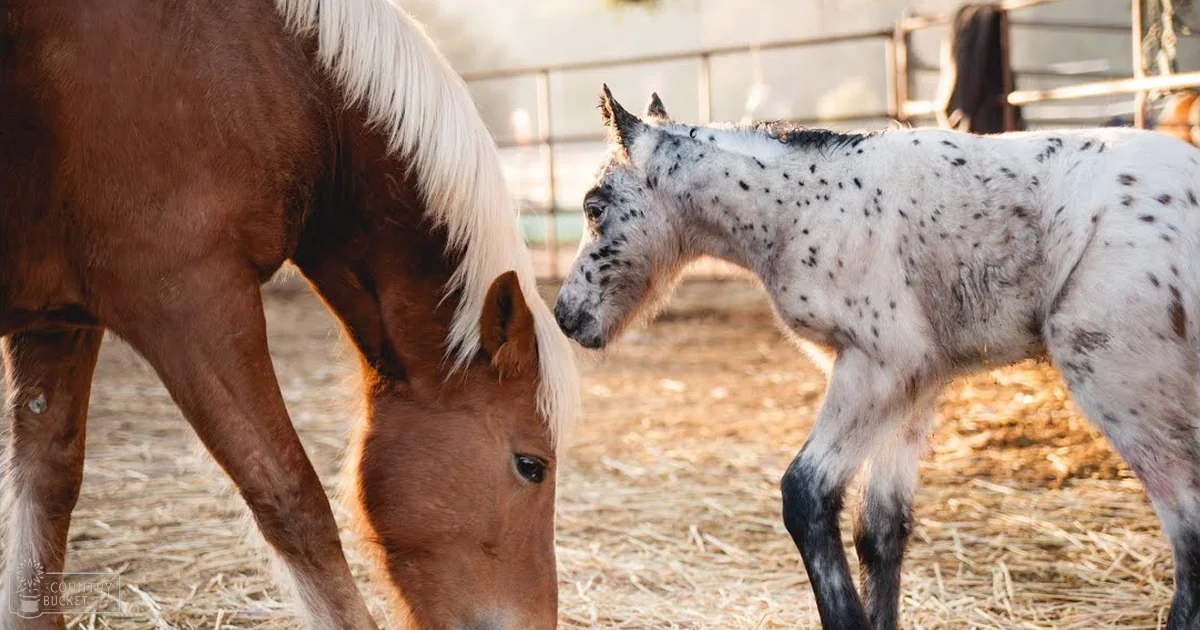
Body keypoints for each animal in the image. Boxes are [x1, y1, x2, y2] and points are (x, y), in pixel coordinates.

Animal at [553, 87, 1200, 629]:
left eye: (594, 206)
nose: (565, 314)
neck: (799, 208)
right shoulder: (918, 383)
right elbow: (882, 531)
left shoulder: (880, 366)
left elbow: (806, 496)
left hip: (1116, 377)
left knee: (1189, 533)